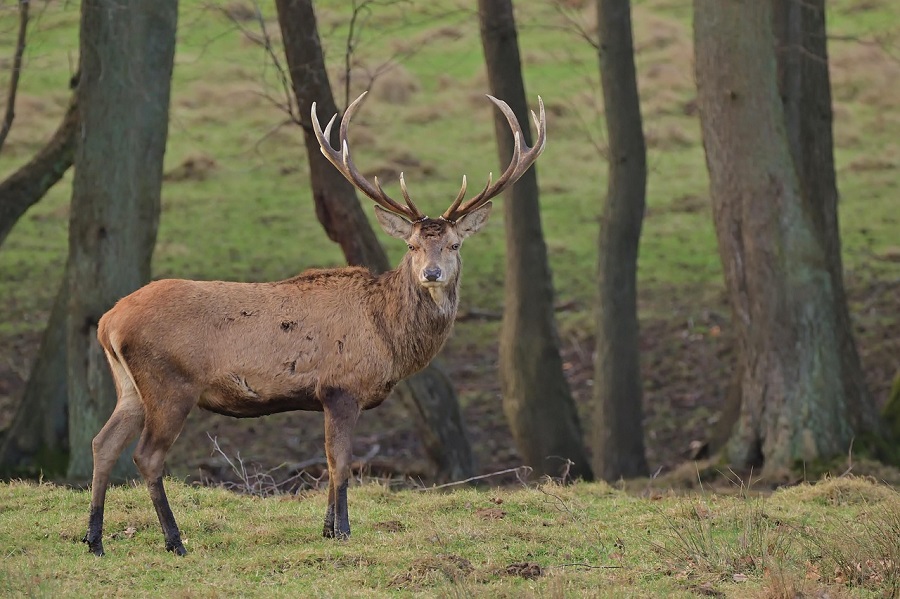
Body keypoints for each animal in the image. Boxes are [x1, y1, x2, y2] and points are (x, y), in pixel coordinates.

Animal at [82, 91, 546, 557]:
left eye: (454, 245)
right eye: (413, 246)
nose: (431, 273)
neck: (388, 337)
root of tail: (108, 321)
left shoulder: (325, 396)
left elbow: (327, 460)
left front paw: (325, 529)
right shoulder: (342, 386)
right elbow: (340, 464)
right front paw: (342, 531)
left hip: (129, 386)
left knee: (103, 442)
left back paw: (94, 539)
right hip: (170, 382)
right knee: (146, 455)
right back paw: (174, 540)